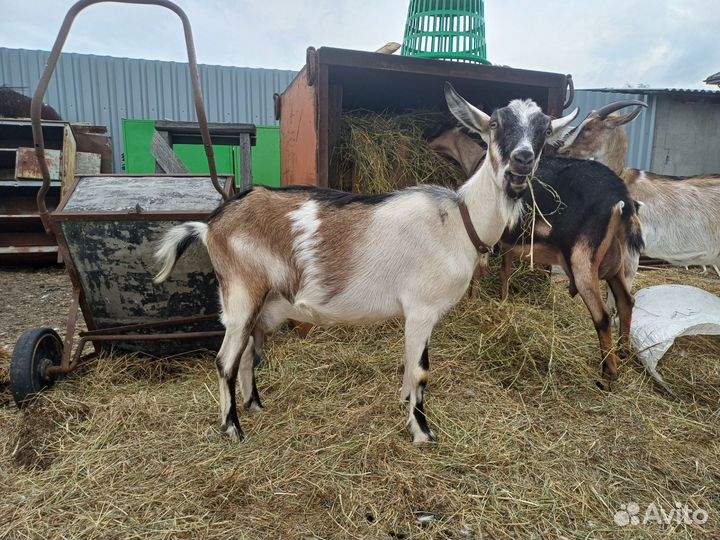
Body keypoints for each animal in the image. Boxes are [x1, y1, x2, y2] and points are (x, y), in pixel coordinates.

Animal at [153, 83, 578, 443]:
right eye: (495, 124)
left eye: (543, 131)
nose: (522, 160)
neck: (458, 221)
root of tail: (211, 225)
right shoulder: (422, 308)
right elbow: (421, 370)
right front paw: (423, 432)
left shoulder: (418, 314)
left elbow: (409, 366)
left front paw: (404, 406)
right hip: (241, 292)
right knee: (225, 359)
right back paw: (233, 429)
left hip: (263, 302)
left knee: (243, 356)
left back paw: (255, 407)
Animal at [429, 129, 643, 385]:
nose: (431, 143)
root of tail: (621, 199)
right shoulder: (509, 243)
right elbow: (505, 273)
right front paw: (503, 301)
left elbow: (479, 271)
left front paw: (472, 303)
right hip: (615, 260)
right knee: (625, 300)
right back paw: (624, 351)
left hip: (583, 261)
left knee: (602, 316)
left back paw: (608, 375)